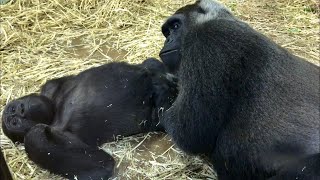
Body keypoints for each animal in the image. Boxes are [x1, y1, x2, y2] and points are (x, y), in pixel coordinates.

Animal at [1, 58, 178, 179]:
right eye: (15, 122)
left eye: (13, 109)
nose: (20, 111)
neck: (54, 106)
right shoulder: (35, 135)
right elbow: (102, 165)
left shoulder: (49, 86)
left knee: (153, 67)